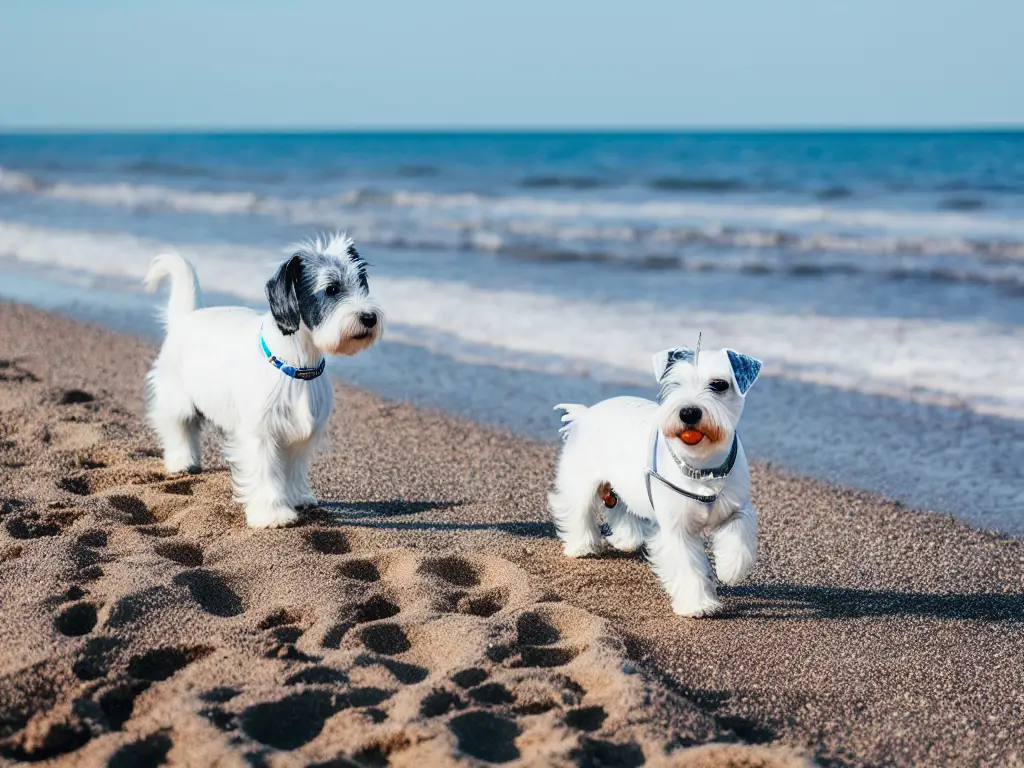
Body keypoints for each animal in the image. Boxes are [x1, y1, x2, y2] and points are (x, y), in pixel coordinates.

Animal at [144, 234, 385, 528]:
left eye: (362, 282)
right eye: (331, 288)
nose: (369, 318)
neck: (297, 366)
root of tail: (187, 316)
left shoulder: (300, 436)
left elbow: (293, 469)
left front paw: (296, 497)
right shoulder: (262, 434)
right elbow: (266, 473)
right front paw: (272, 513)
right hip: (175, 398)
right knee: (178, 426)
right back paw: (182, 460)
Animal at [552, 346, 761, 618]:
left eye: (719, 384)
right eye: (675, 383)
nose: (688, 412)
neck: (703, 468)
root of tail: (587, 412)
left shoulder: (738, 507)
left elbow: (740, 532)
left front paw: (731, 569)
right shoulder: (677, 530)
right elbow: (688, 568)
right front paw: (698, 605)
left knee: (622, 508)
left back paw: (626, 539)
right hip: (582, 483)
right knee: (578, 511)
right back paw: (581, 546)